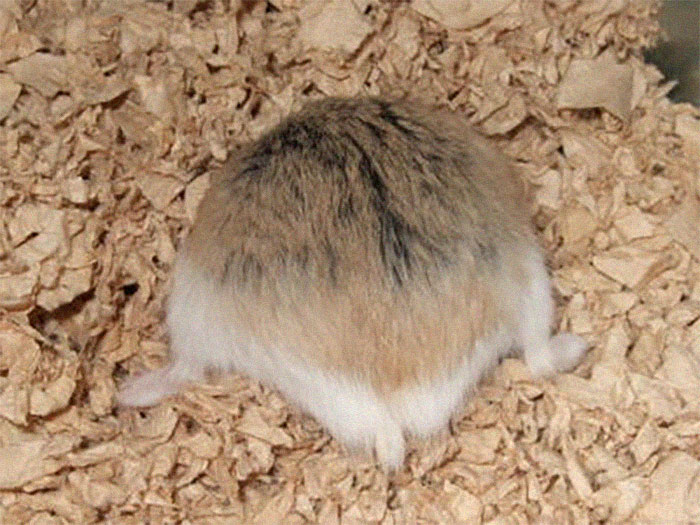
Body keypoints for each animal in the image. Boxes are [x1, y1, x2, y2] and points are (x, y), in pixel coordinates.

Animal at [118, 97, 587, 470]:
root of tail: (388, 398)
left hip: (192, 307)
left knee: (187, 368)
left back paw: (127, 392)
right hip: (529, 278)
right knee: (539, 358)